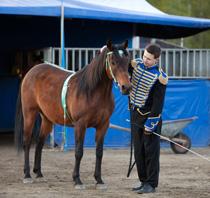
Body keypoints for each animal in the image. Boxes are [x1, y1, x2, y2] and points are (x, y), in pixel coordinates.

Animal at [15, 39, 131, 189]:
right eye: (113, 62)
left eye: (127, 61)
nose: (126, 87)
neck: (92, 91)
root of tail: (31, 72)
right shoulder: (80, 125)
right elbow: (78, 152)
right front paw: (77, 180)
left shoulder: (103, 125)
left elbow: (99, 152)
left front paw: (99, 180)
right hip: (29, 114)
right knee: (27, 142)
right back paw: (27, 175)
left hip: (47, 119)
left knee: (40, 143)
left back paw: (39, 173)